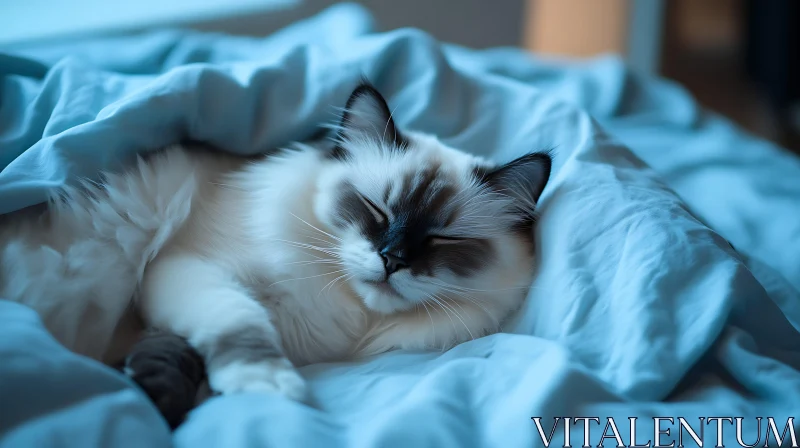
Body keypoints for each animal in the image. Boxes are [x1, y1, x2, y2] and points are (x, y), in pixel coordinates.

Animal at [0, 83, 552, 410]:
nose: (392, 260)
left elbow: (177, 354)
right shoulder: (185, 269)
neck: (346, 319)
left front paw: (156, 389)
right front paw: (269, 387)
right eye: (375, 210)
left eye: (443, 239)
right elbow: (240, 323)